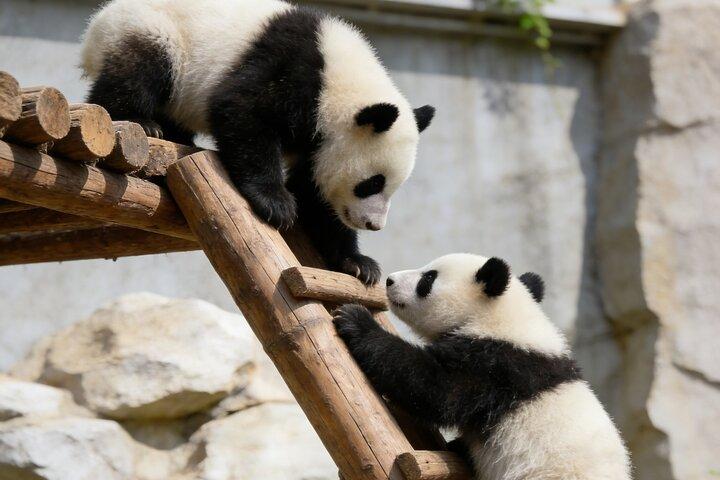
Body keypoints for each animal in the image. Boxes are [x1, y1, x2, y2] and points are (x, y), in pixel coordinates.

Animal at [80, 0, 435, 285]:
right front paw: (277, 204)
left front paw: (358, 264)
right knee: (137, 71)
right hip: (154, 32)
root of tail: (97, 23)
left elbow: (316, 196)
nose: (373, 224)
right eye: (371, 184)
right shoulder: (289, 69)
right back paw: (143, 122)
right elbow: (243, 111)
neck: (338, 82)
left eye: (392, 187)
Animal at [333, 253, 632, 480]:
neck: (502, 317)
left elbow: (436, 388)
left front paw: (355, 320)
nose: (390, 280)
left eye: (428, 278)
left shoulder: (497, 367)